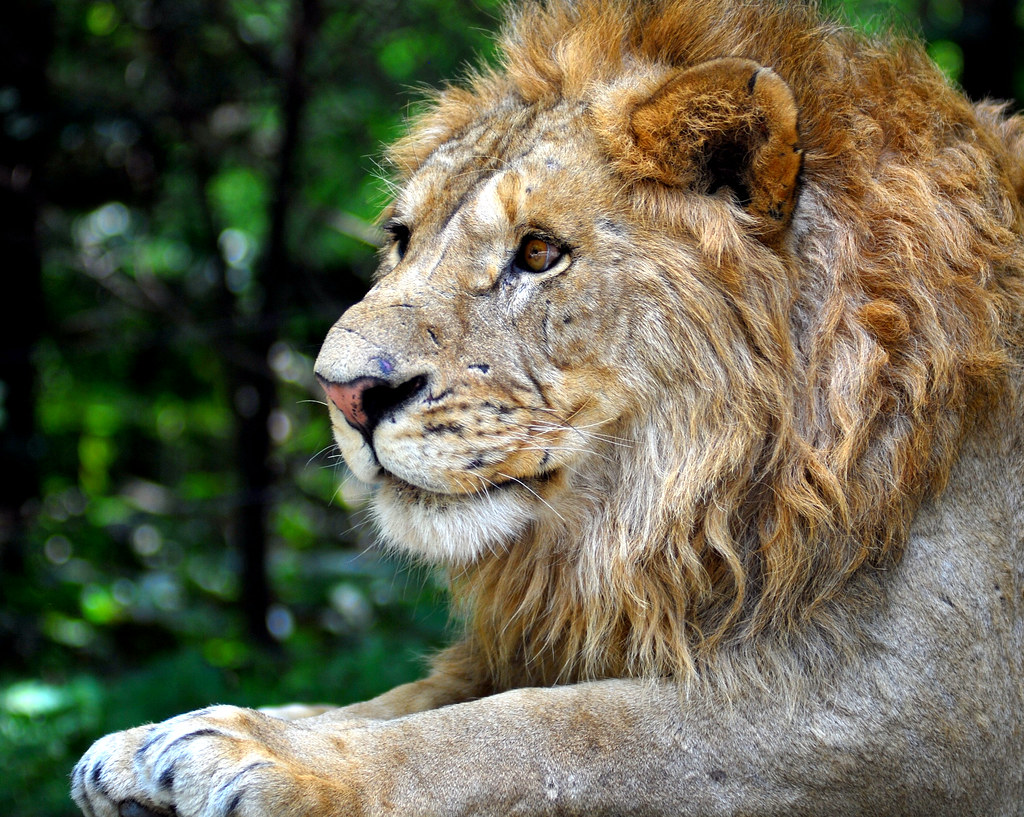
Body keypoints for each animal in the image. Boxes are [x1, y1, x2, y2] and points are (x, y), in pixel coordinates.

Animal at [73, 0, 1024, 814]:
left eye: (537, 253)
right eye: (401, 239)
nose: (344, 392)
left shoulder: (915, 718)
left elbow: (541, 731)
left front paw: (272, 758)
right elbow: (408, 696)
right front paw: (159, 741)